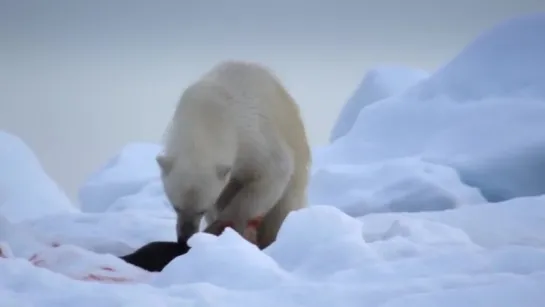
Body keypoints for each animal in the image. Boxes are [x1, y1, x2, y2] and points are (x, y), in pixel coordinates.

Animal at [156, 60, 310, 250]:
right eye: (176, 207)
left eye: (202, 209)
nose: (185, 238)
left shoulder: (253, 135)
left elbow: (275, 171)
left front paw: (226, 225)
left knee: (282, 211)